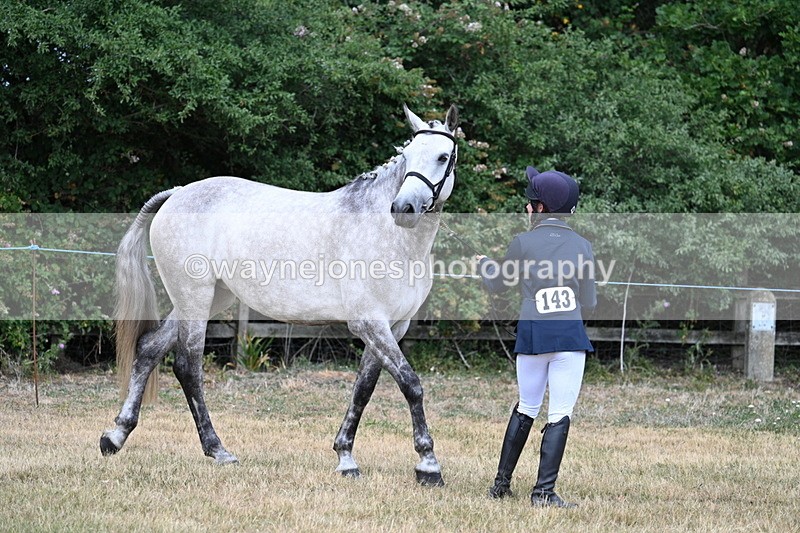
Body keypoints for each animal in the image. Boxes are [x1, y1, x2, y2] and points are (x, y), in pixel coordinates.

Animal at [100, 104, 459, 486]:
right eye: (407, 156)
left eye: (443, 156)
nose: (403, 208)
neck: (389, 236)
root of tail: (178, 192)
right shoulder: (369, 323)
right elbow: (411, 384)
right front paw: (428, 465)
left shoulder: (393, 327)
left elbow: (363, 390)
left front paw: (346, 458)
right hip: (194, 297)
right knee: (187, 366)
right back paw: (218, 450)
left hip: (208, 298)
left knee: (148, 350)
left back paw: (115, 437)